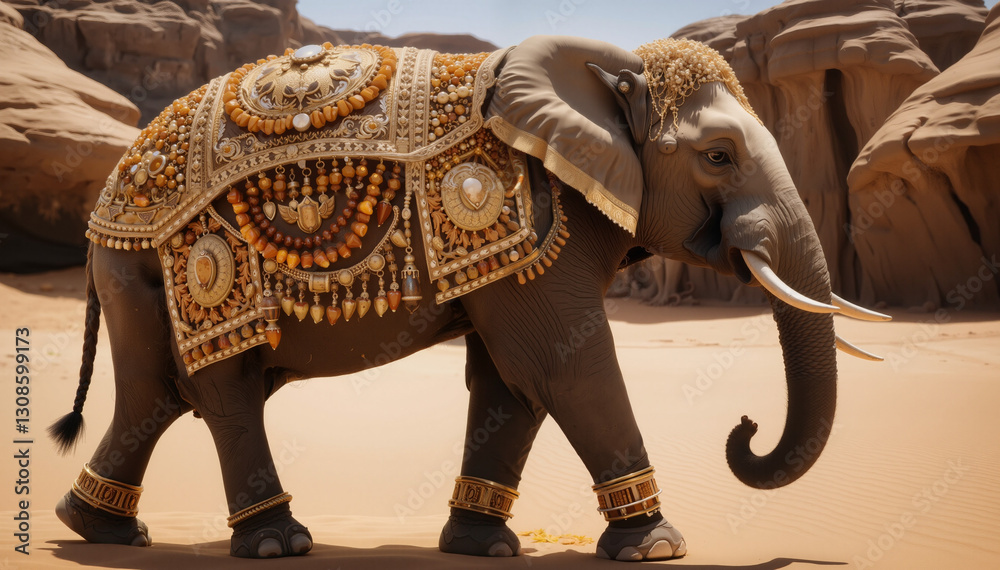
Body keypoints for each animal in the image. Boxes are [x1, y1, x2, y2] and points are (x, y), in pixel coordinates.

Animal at [50, 35, 889, 561]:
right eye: (718, 156)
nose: (743, 428)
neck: (602, 73)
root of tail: (110, 198)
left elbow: (510, 380)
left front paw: (483, 548)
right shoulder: (535, 216)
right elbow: (564, 365)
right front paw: (657, 547)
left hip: (134, 272)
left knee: (158, 393)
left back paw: (98, 531)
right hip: (180, 255)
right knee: (220, 388)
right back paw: (274, 544)